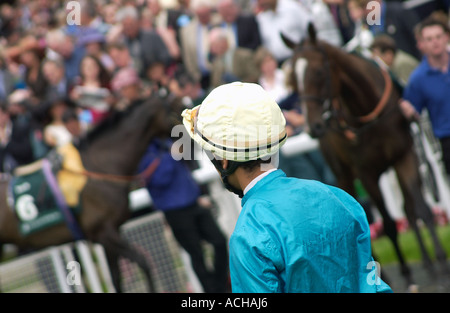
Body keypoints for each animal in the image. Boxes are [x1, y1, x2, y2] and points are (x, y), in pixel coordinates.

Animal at [0, 94, 179, 292]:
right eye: (173, 110)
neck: (101, 167)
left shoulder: (110, 233)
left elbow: (116, 278)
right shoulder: (103, 233)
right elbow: (143, 262)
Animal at [284, 24, 448, 288]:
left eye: (318, 72)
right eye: (293, 81)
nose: (313, 127)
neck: (366, 109)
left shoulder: (405, 155)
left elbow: (421, 209)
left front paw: (440, 263)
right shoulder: (366, 173)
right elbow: (389, 224)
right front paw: (405, 272)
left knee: (408, 209)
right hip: (342, 174)